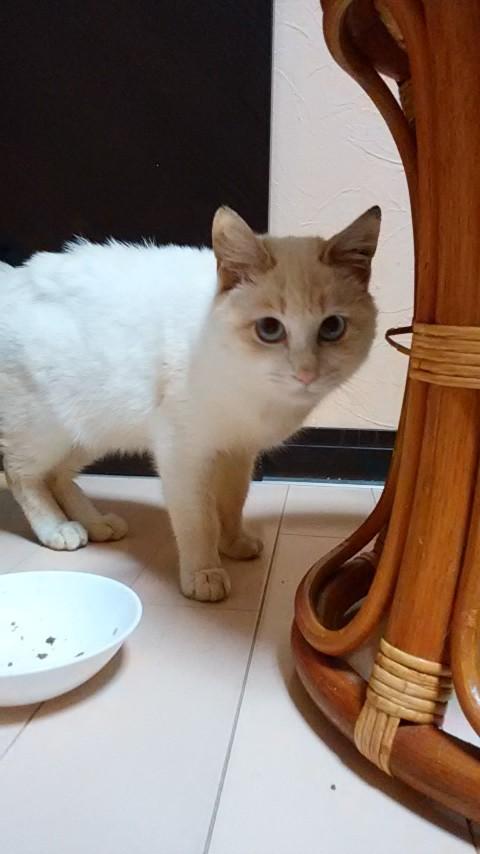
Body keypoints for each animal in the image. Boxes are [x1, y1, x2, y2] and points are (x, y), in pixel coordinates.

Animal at [0, 205, 380, 601]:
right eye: (270, 329)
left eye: (332, 328)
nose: (306, 373)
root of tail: (12, 275)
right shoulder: (183, 453)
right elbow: (198, 520)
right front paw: (204, 572)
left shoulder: (239, 452)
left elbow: (232, 502)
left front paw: (234, 543)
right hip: (46, 429)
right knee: (22, 475)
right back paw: (57, 528)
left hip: (91, 430)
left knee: (57, 476)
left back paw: (95, 522)